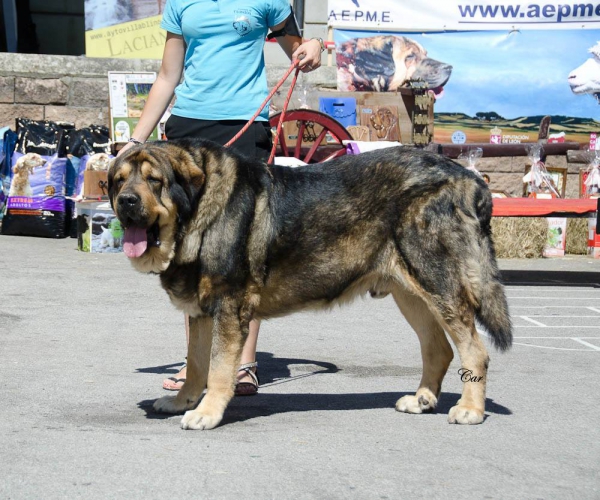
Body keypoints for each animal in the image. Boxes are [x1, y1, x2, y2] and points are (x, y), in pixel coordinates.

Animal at [108, 140, 510, 430]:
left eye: (154, 180)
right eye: (119, 180)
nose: (126, 201)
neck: (199, 210)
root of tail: (468, 178)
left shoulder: (228, 309)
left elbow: (219, 368)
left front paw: (207, 413)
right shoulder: (203, 311)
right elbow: (195, 364)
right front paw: (182, 402)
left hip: (438, 284)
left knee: (474, 350)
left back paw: (470, 409)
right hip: (410, 292)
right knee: (438, 349)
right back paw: (422, 399)